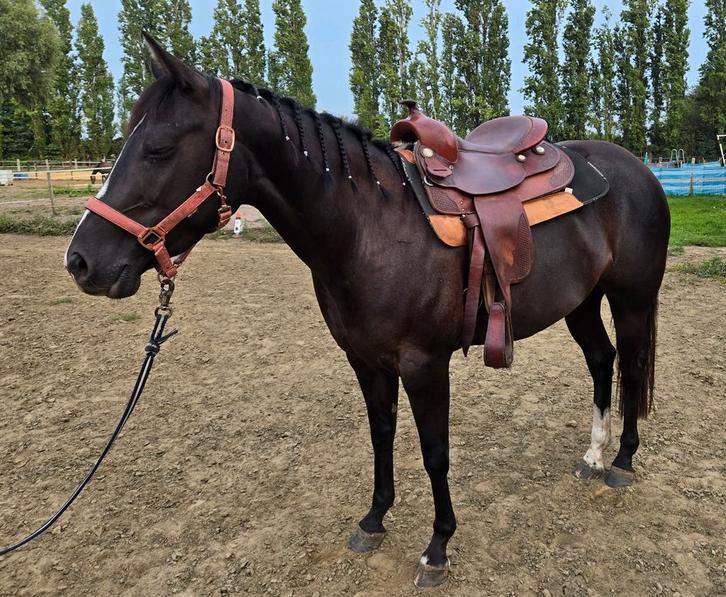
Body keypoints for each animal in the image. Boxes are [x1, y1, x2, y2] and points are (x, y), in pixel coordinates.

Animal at [65, 37, 670, 588]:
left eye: (159, 149)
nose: (81, 261)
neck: (369, 230)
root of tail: (636, 169)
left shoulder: (425, 365)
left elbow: (434, 452)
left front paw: (438, 548)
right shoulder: (365, 359)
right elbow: (381, 435)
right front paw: (374, 519)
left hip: (632, 299)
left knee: (632, 365)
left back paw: (621, 463)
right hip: (581, 301)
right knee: (602, 360)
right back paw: (593, 454)